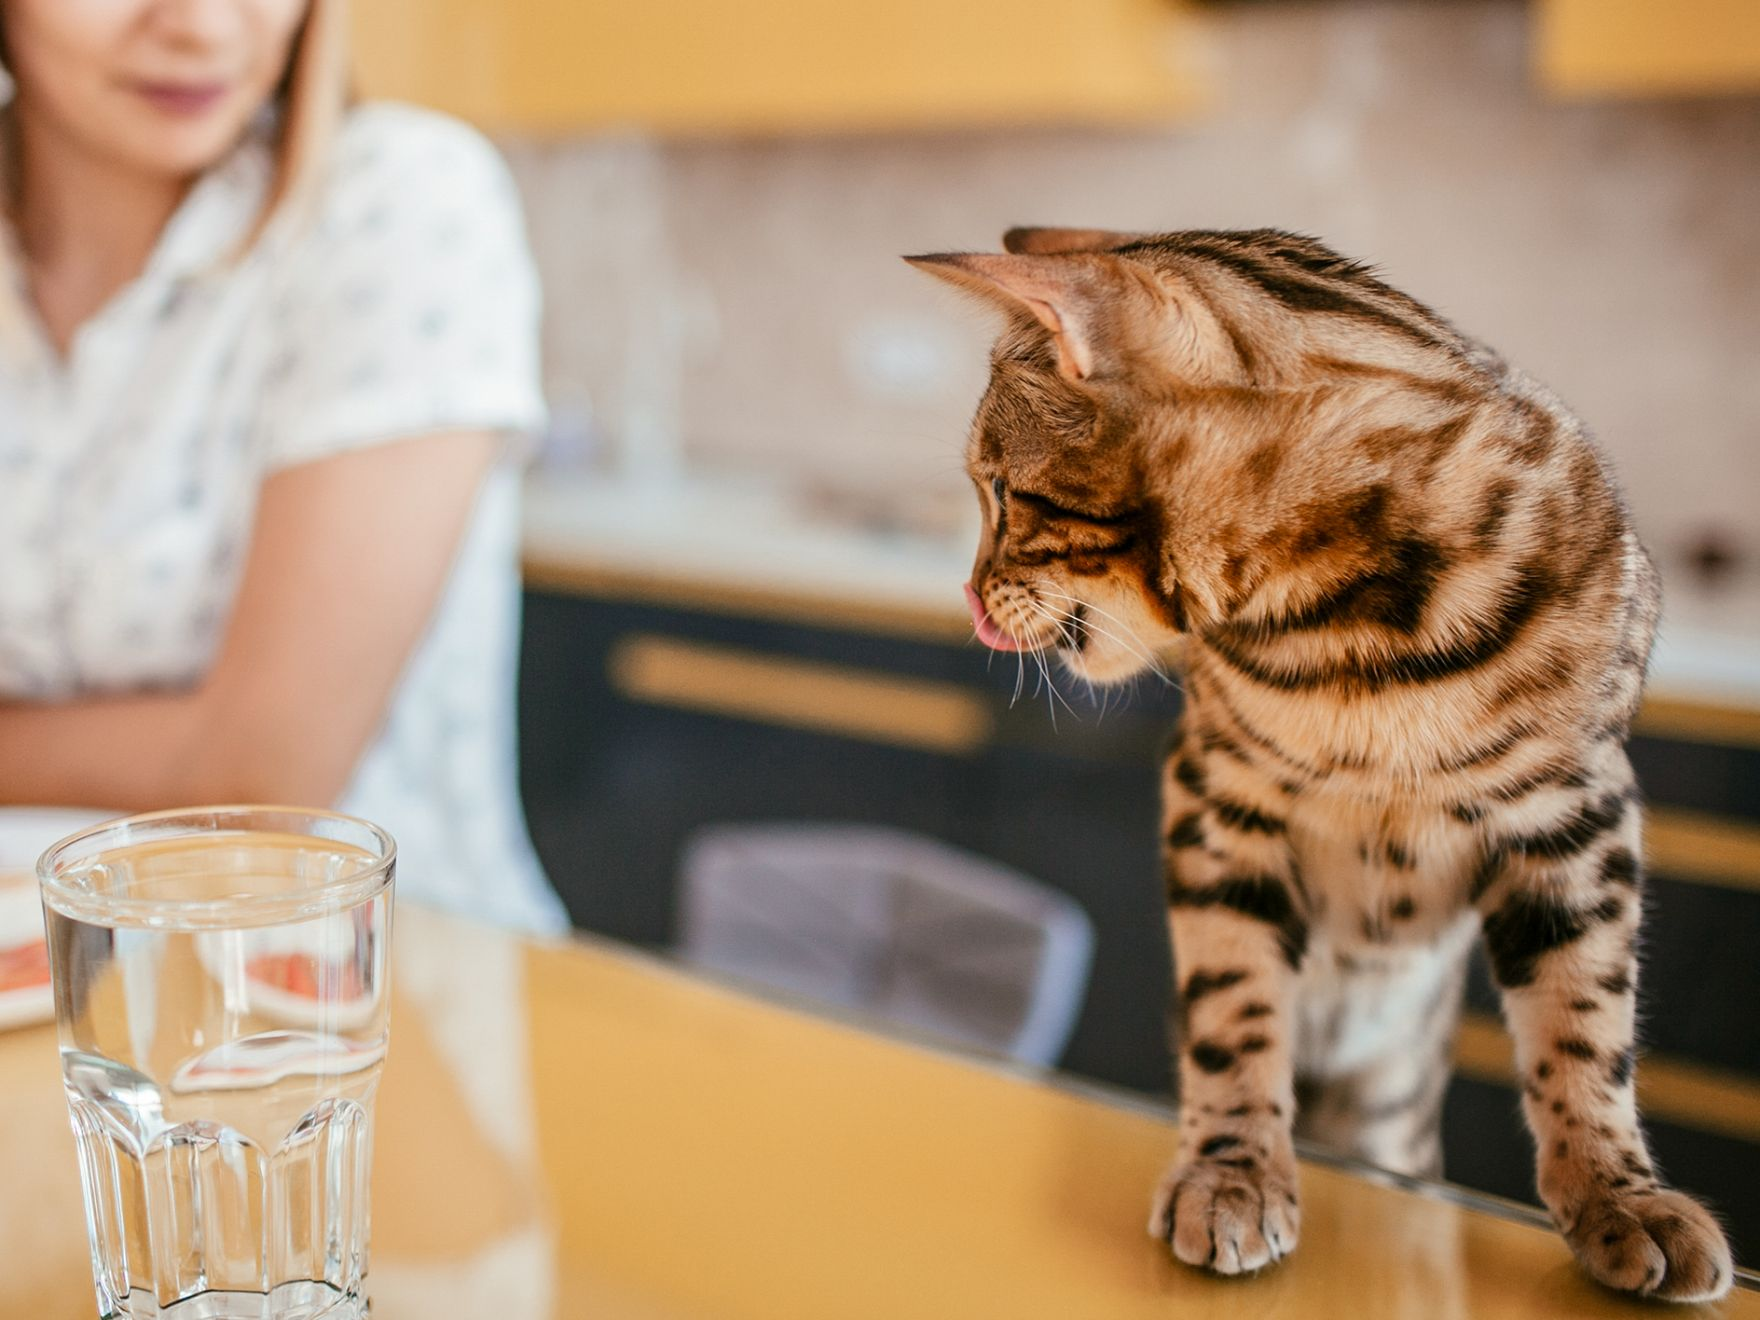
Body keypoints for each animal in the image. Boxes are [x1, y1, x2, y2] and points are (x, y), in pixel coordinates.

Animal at [915, 225, 1738, 1302]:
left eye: (1005, 491)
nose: (968, 599)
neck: (1350, 635)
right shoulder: (1216, 800)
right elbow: (1232, 1010)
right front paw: (1231, 1173)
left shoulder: (1579, 811)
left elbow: (1583, 1028)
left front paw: (1617, 1194)